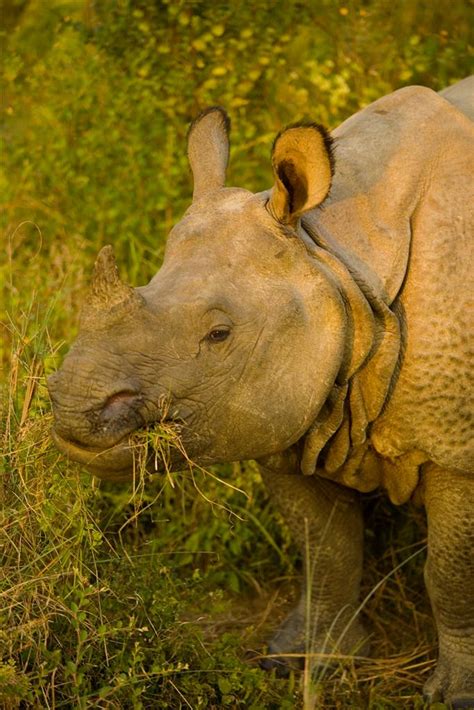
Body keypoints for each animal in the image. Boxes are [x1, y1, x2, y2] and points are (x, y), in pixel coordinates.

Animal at [50, 79, 472, 708]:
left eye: (219, 335)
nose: (73, 406)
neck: (337, 256)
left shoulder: (456, 451)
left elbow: (450, 572)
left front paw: (454, 694)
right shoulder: (288, 411)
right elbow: (325, 547)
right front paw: (304, 660)